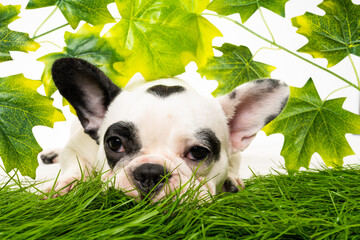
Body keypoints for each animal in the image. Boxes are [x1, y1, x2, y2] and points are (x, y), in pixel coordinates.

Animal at [41, 57, 290, 201]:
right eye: (115, 143)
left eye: (198, 152)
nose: (150, 172)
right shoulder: (78, 147)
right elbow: (76, 166)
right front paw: (65, 187)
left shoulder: (234, 155)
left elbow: (233, 165)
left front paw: (230, 180)